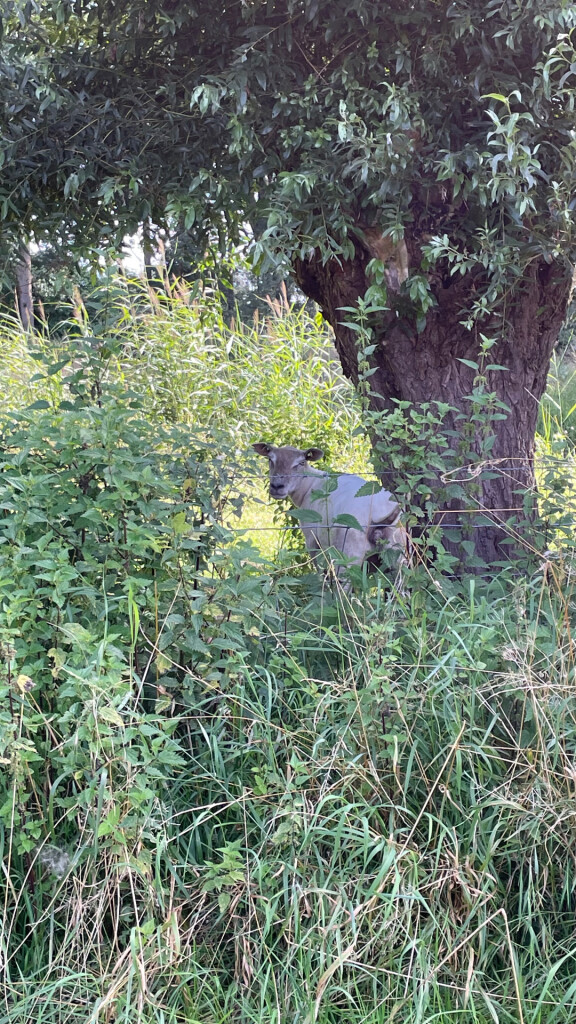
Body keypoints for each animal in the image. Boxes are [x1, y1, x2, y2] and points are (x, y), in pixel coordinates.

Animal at [252, 443, 405, 578]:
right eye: (270, 459)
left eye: (301, 463)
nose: (277, 486)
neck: (309, 486)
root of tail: (379, 518)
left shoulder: (312, 540)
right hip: (397, 557)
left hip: (347, 556)